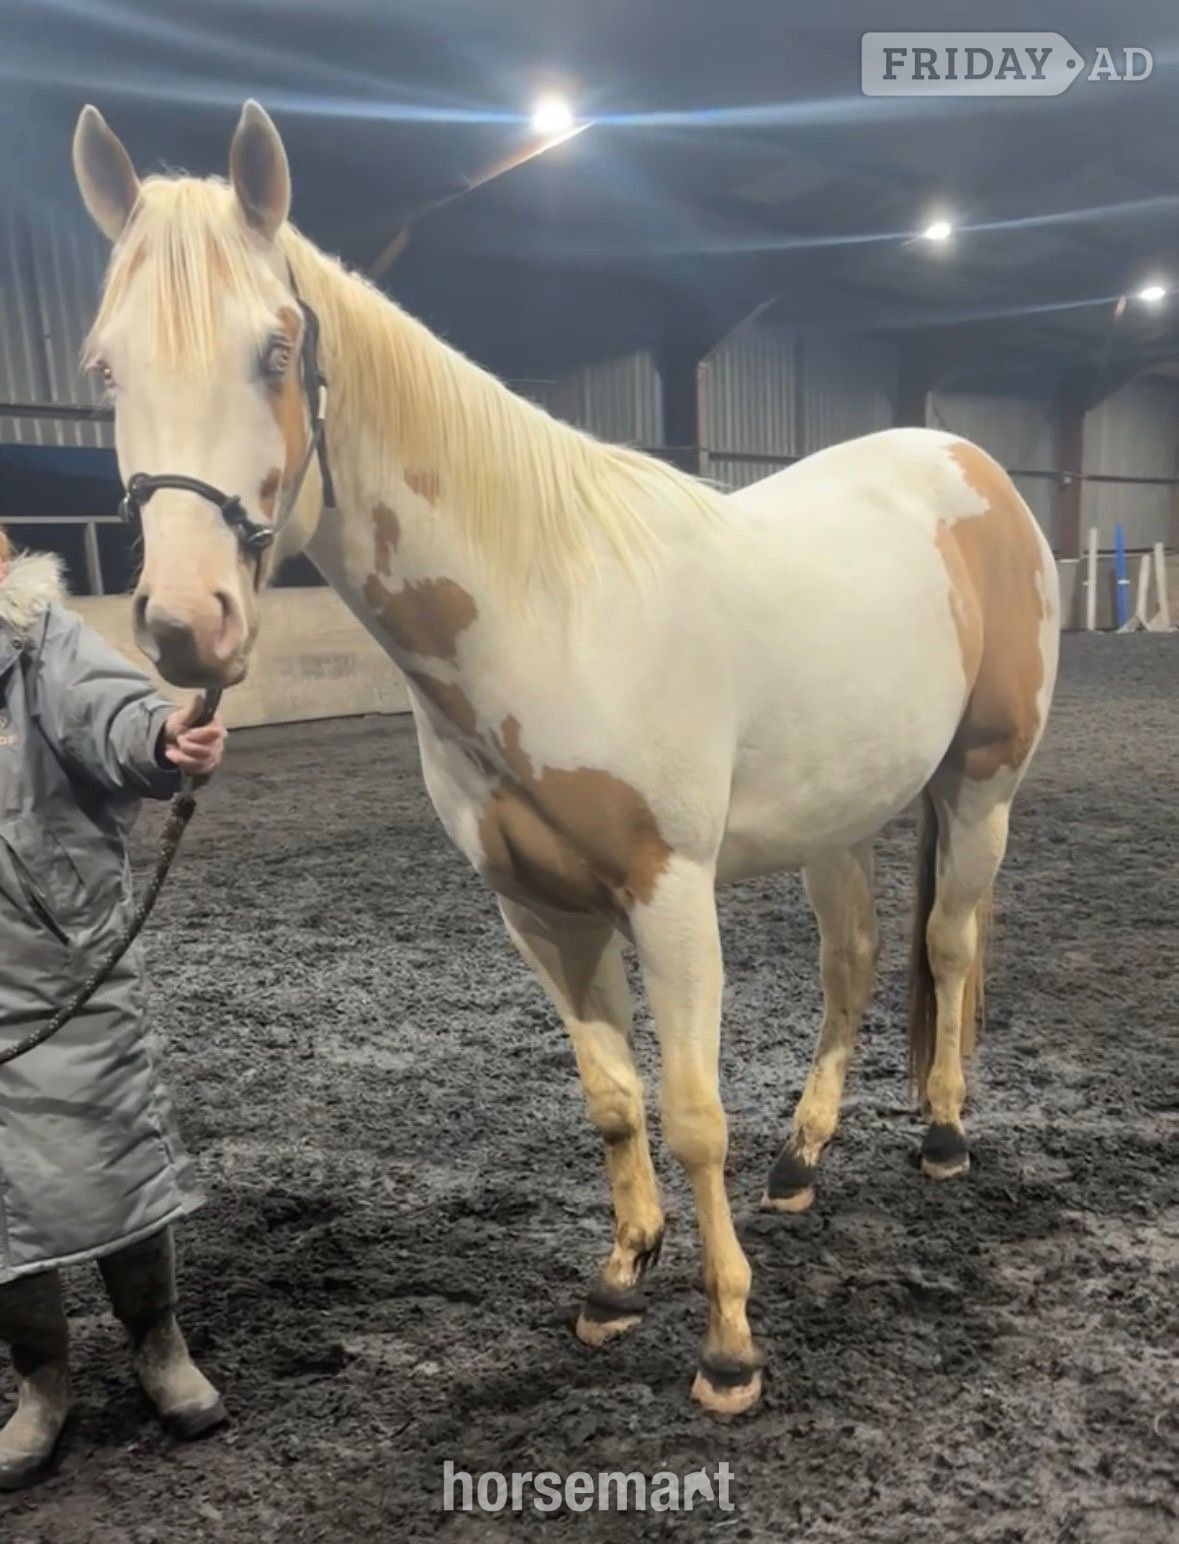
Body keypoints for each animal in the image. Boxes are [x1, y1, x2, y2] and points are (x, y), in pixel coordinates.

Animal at [73, 101, 1059, 1416]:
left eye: (277, 349)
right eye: (106, 365)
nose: (189, 622)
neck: (550, 607)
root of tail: (972, 465)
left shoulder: (669, 892)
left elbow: (691, 1112)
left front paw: (730, 1346)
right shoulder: (540, 907)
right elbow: (611, 1097)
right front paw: (619, 1278)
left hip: (982, 783)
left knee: (949, 943)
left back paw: (945, 1132)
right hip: (838, 816)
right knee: (851, 964)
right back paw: (803, 1157)